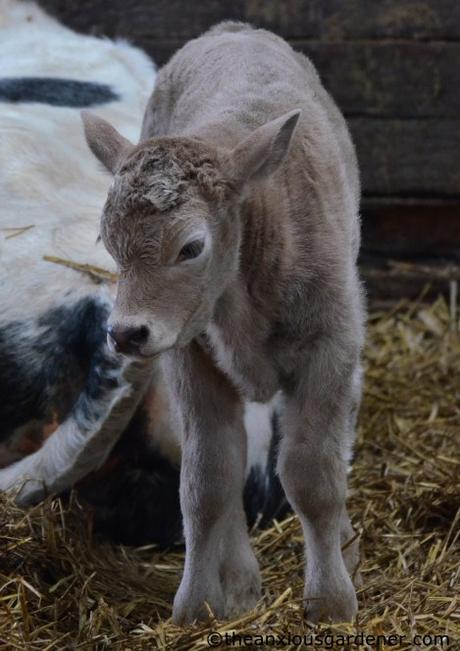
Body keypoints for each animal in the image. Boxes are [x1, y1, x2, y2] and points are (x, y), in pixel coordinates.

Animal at [82, 21, 365, 624]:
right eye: (109, 243)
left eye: (191, 247)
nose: (126, 333)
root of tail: (234, 30)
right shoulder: (190, 357)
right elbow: (207, 478)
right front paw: (197, 604)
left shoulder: (331, 347)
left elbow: (312, 473)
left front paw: (331, 600)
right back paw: (238, 582)